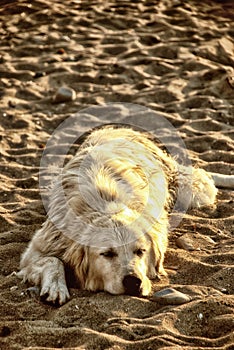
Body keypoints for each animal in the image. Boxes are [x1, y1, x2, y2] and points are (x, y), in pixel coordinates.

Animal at [17, 125, 218, 304]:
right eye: (107, 254)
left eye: (140, 251)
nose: (133, 282)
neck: (106, 203)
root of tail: (119, 128)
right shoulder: (40, 248)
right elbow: (52, 261)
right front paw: (56, 287)